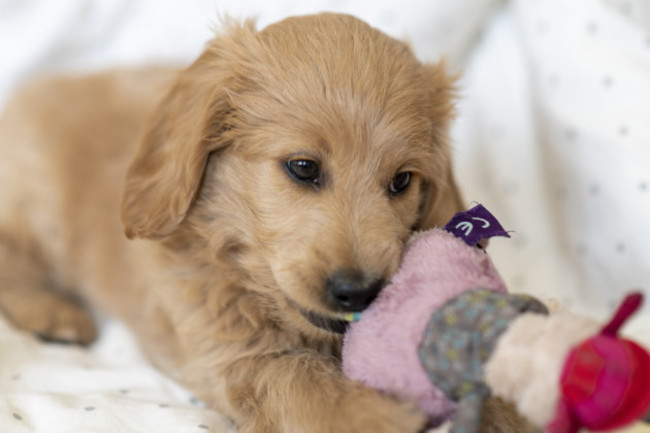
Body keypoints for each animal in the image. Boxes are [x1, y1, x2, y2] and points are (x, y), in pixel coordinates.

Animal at [0, 13, 528, 432]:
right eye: (303, 167)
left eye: (401, 180)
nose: (357, 292)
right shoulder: (233, 356)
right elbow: (300, 381)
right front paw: (381, 415)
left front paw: (500, 409)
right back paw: (52, 312)